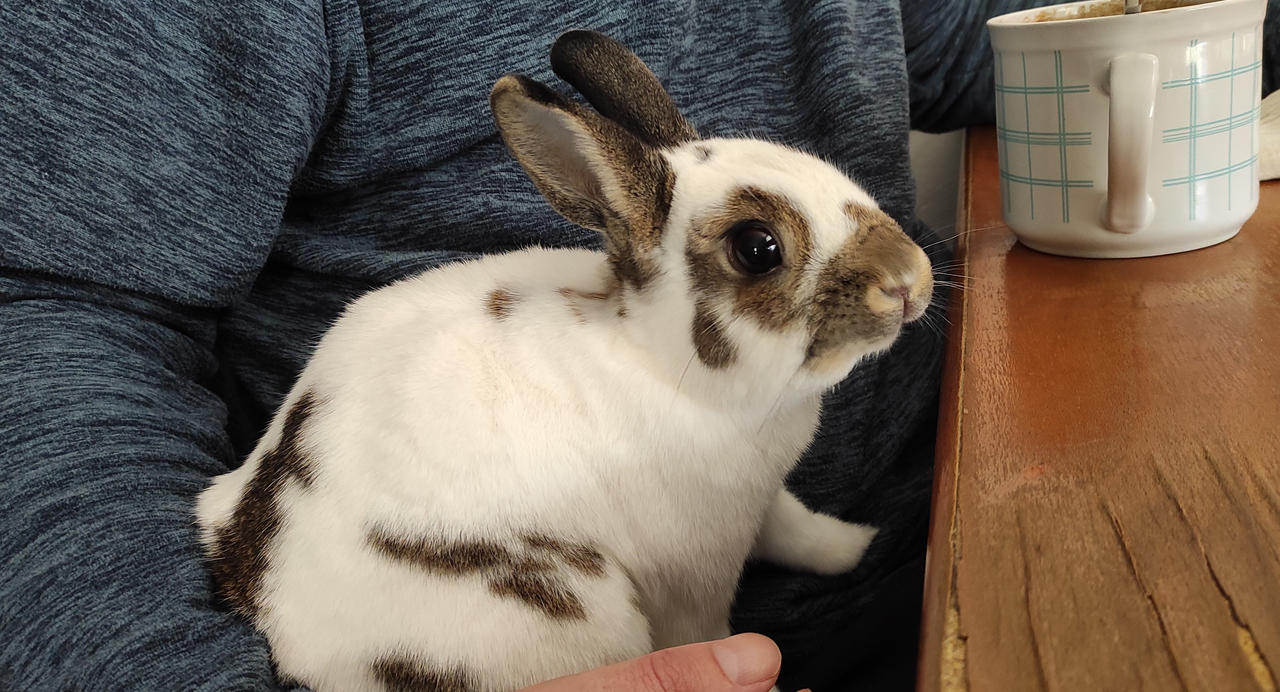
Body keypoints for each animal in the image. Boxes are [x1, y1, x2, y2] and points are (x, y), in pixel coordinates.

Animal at [194, 29, 933, 692]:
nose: (910, 280)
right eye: (758, 248)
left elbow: (795, 528)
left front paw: (854, 546)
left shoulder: (761, 503)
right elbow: (703, 631)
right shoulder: (694, 570)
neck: (659, 362)